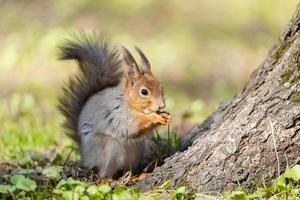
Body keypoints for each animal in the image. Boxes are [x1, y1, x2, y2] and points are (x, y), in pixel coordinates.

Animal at [57, 34, 170, 178]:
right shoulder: (117, 114)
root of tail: (85, 157)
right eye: (144, 92)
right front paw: (154, 117)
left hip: (136, 151)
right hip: (108, 148)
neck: (127, 102)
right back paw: (108, 179)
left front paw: (166, 116)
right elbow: (131, 126)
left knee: (128, 169)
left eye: (161, 86)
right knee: (103, 173)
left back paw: (139, 175)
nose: (162, 105)